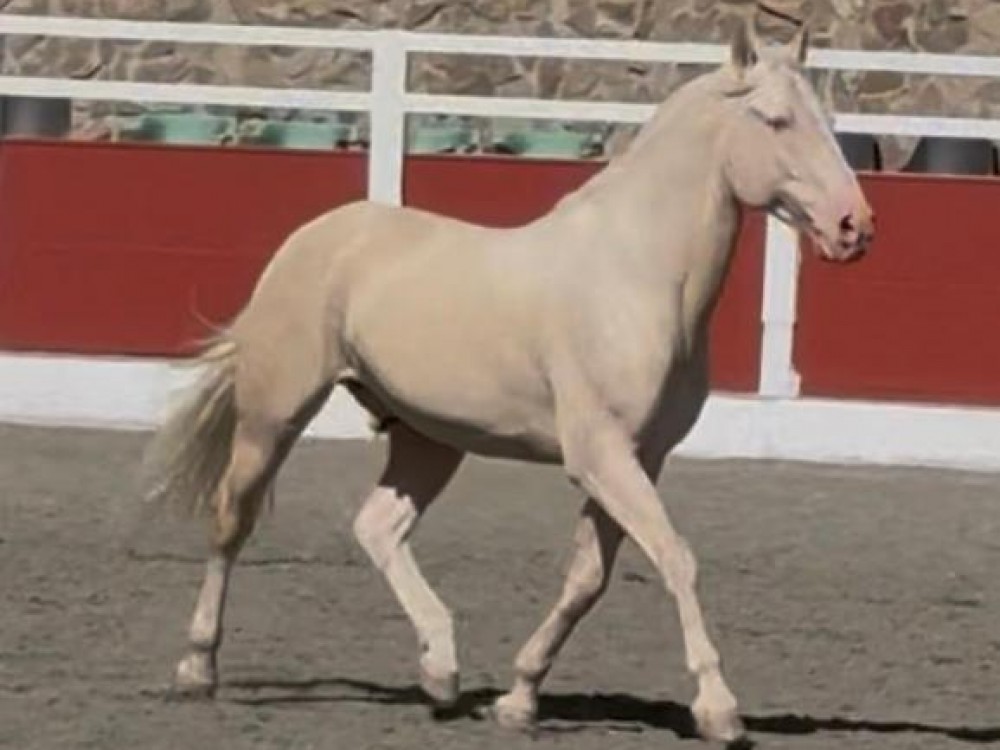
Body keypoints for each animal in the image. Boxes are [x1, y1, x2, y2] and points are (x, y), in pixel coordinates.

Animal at [143, 17, 873, 745]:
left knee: (378, 527)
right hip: (275, 415)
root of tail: (315, 236)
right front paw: (720, 709)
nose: (855, 226)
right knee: (232, 521)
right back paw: (197, 668)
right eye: (775, 119)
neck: (638, 275)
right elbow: (675, 557)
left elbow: (587, 579)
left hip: (429, 439)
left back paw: (441, 673)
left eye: (827, 120)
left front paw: (518, 698)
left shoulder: (641, 459)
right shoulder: (602, 455)